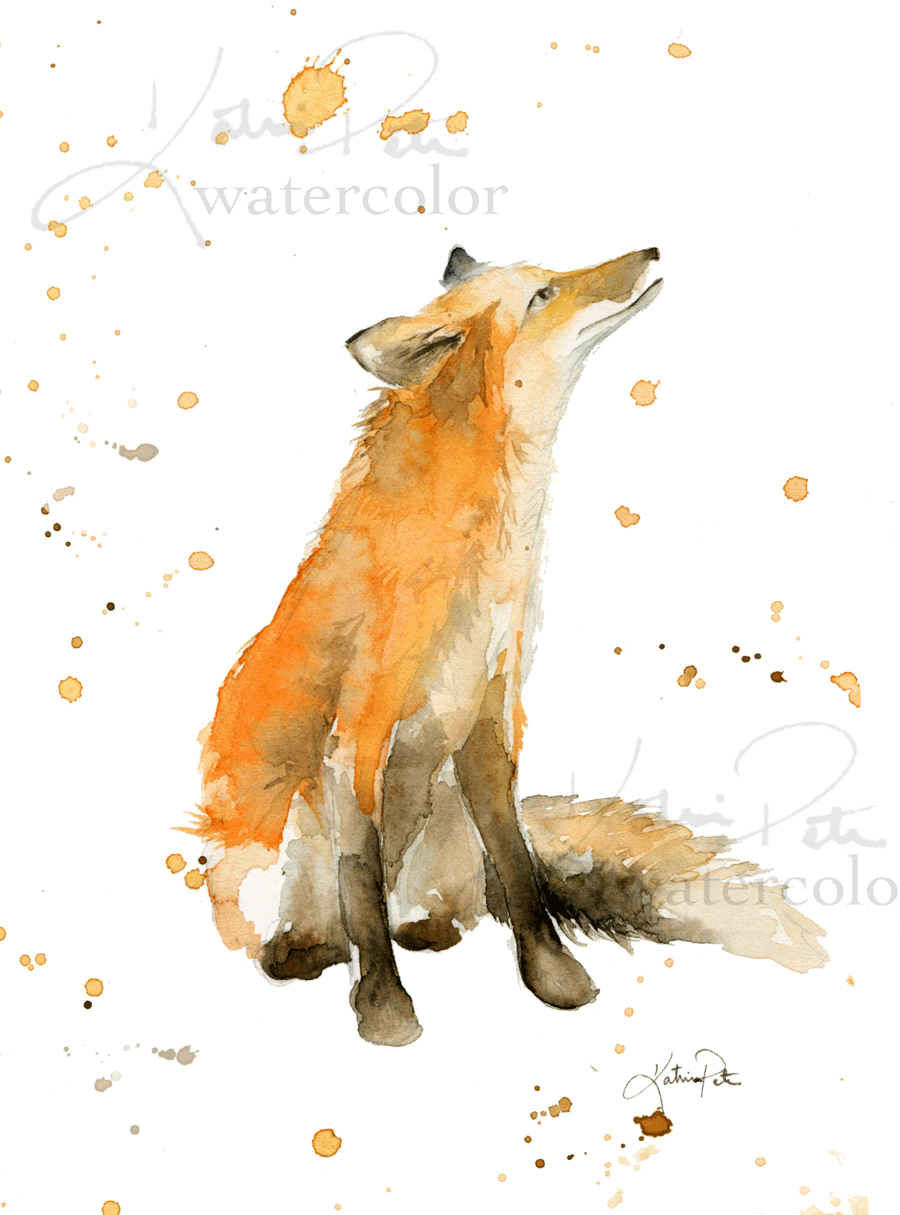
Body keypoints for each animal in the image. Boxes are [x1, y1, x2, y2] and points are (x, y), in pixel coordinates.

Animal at [188, 245, 827, 1048]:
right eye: (544, 295)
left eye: (551, 276)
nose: (650, 251)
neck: (487, 568)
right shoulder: (356, 735)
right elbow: (360, 881)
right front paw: (385, 1010)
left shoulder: (489, 715)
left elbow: (518, 867)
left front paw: (553, 977)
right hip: (270, 842)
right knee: (312, 926)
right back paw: (306, 951)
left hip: (442, 816)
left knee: (441, 902)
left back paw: (423, 929)